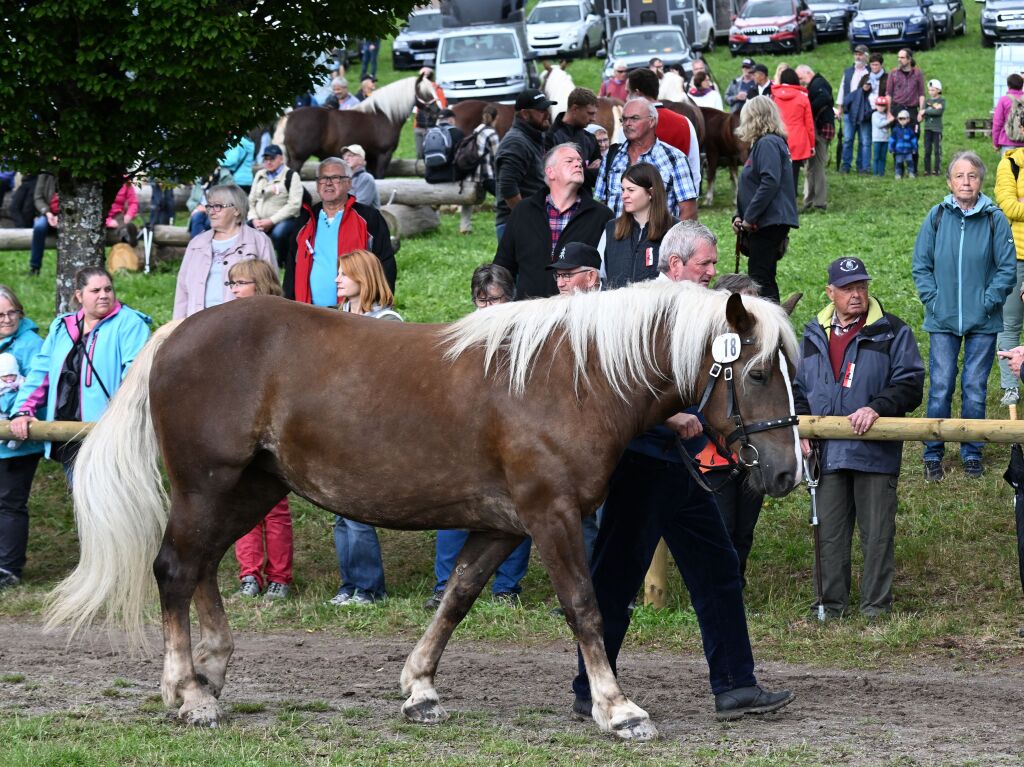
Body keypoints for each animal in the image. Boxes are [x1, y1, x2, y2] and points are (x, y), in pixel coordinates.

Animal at [46, 280, 798, 741]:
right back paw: (189, 690)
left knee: (199, 565)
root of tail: (176, 332)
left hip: (251, 488)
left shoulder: (500, 524)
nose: (787, 470)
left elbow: (456, 598)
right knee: (175, 567)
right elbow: (584, 606)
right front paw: (618, 709)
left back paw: (210, 673)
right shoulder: (549, 515)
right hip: (208, 485)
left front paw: (420, 687)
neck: (572, 377)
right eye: (758, 372)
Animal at [280, 74, 436, 177]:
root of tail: (290, 116)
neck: (384, 116)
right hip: (298, 159)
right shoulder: (383, 155)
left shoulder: (372, 157)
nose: (437, 111)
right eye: (425, 92)